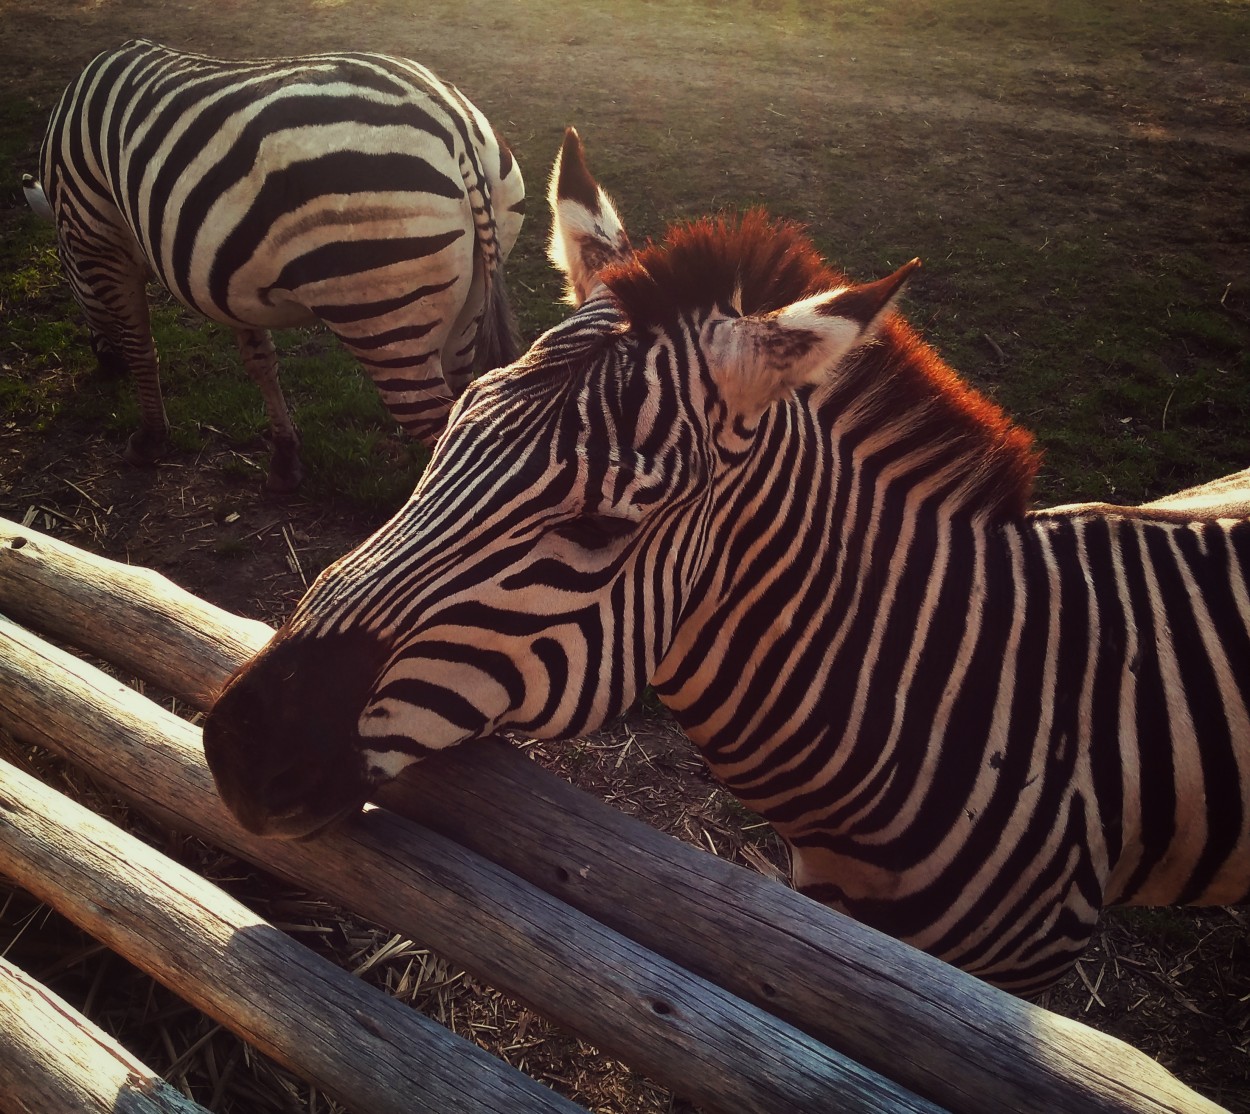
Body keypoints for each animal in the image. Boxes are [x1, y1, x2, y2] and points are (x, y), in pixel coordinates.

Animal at [31, 38, 522, 487]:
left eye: (69, 274)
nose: (103, 368)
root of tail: (449, 117)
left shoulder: (98, 236)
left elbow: (140, 345)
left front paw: (150, 439)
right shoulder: (219, 275)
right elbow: (259, 360)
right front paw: (285, 459)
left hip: (387, 316)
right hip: (469, 301)